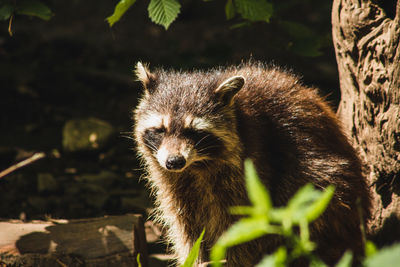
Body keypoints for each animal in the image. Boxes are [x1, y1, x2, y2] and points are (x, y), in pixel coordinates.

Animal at [134, 61, 372, 266]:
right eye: (160, 130)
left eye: (194, 132)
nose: (174, 161)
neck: (197, 166)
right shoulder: (174, 184)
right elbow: (187, 230)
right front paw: (194, 259)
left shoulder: (252, 167)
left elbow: (241, 231)